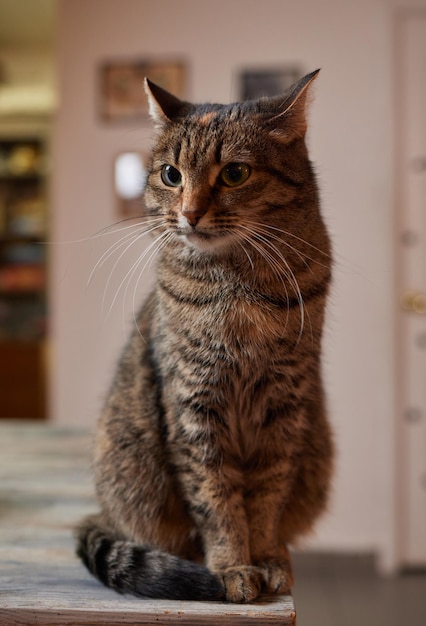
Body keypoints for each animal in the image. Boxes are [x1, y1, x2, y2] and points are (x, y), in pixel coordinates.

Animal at [75, 70, 332, 604]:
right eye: (171, 175)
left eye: (234, 173)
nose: (189, 213)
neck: (237, 287)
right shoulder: (195, 407)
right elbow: (216, 499)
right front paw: (232, 567)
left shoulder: (284, 409)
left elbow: (266, 499)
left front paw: (267, 558)